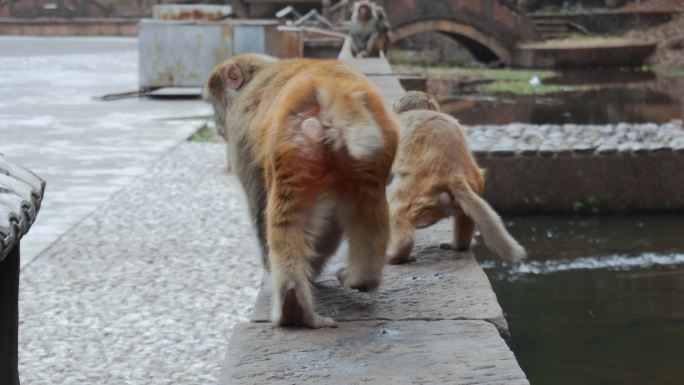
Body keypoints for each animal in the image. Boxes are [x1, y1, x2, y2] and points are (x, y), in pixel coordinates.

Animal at [219, 57, 400, 328]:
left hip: (291, 148)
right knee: (366, 210)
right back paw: (357, 280)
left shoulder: (239, 133)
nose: (218, 125)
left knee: (286, 218)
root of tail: (332, 84)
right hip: (370, 158)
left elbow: (257, 203)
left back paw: (293, 307)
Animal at [388, 90, 528, 264]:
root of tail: (455, 175)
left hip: (417, 190)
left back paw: (398, 254)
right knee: (466, 214)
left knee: (396, 207)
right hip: (471, 187)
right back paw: (459, 245)